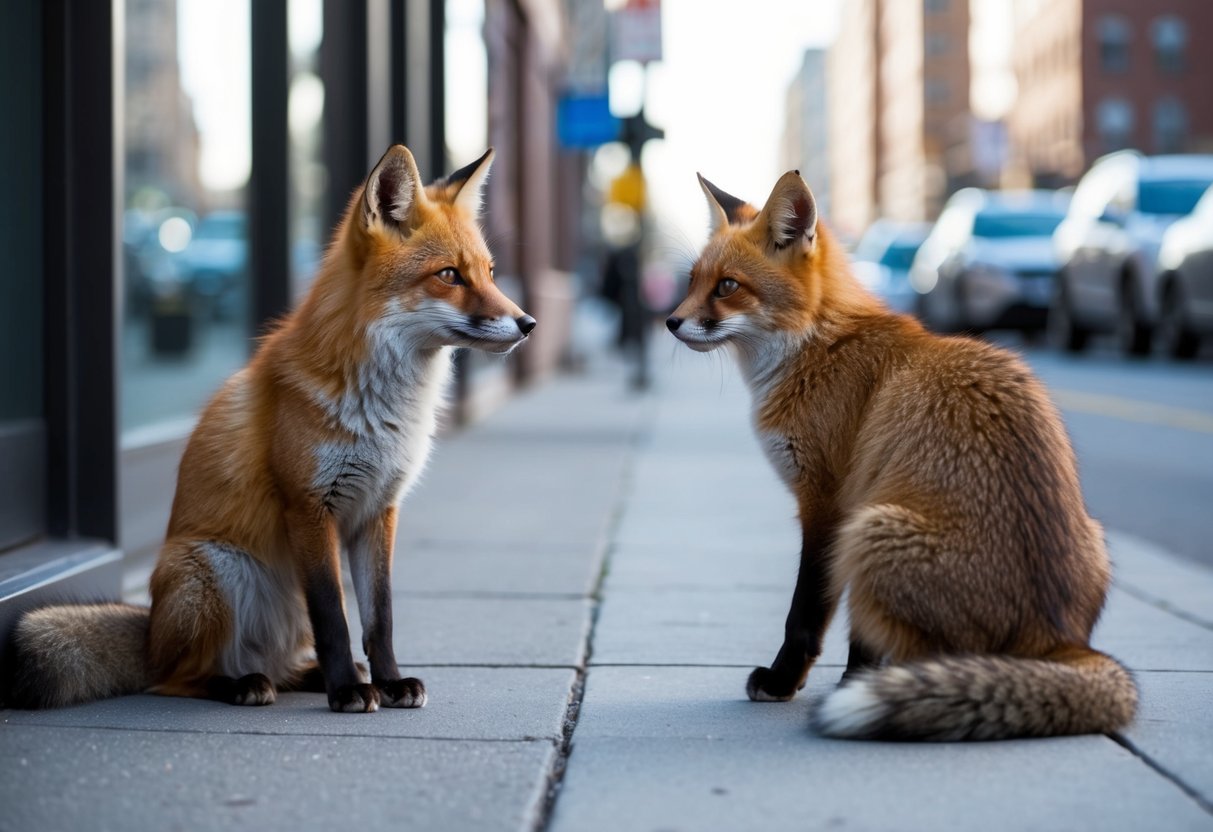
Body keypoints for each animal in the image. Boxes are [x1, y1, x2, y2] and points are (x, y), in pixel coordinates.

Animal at [3, 145, 535, 713]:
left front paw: (389, 682)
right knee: (178, 678)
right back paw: (244, 684)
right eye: (450, 275)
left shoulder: (378, 510)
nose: (528, 323)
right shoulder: (309, 506)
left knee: (280, 663)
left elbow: (380, 618)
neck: (384, 410)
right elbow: (333, 618)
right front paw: (348, 691)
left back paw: (308, 675)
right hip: (213, 571)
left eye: (490, 272)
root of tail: (150, 633)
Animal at [665, 169, 1137, 740]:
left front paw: (787, 683)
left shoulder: (830, 505)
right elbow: (854, 637)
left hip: (872, 530)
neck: (816, 345)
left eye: (728, 286)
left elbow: (806, 615)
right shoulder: (842, 509)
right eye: (692, 281)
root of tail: (1058, 639)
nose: (670, 322)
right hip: (1088, 537)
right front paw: (854, 683)